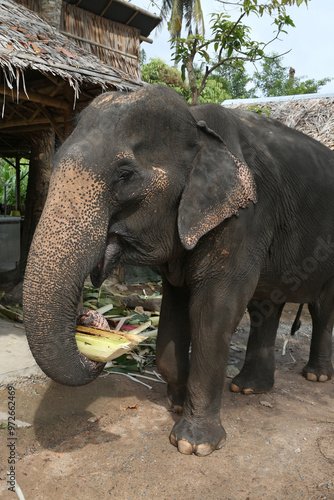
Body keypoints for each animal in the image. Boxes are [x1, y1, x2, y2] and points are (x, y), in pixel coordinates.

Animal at [22, 84, 334, 456]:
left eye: (125, 175)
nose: (90, 320)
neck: (197, 123)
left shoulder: (244, 218)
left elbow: (213, 311)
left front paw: (192, 445)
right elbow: (174, 307)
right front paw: (176, 403)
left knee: (321, 309)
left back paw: (315, 376)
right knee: (267, 304)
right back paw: (248, 388)